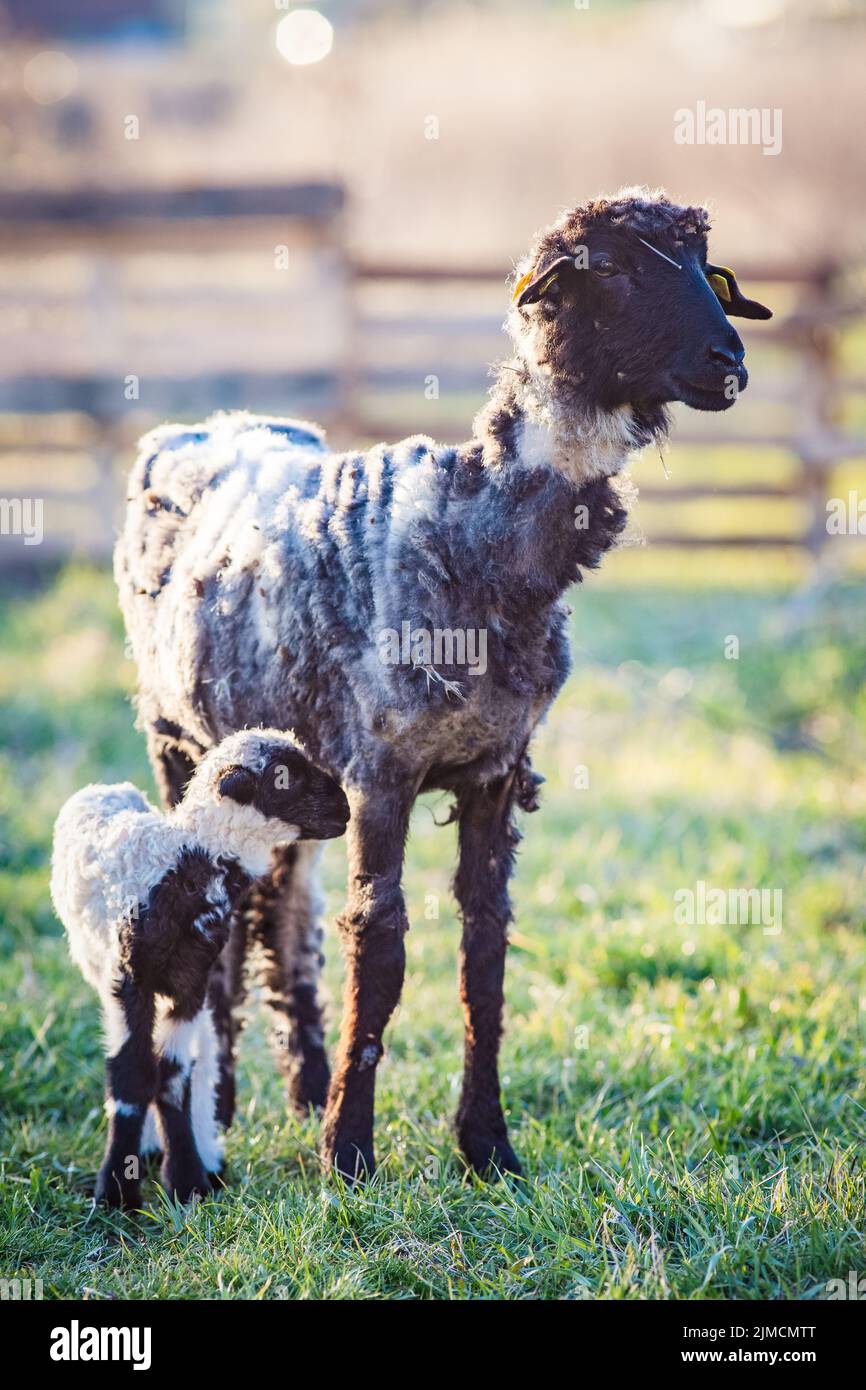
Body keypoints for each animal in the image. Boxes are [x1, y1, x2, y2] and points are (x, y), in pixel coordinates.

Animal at [51, 728, 349, 1207]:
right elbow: (132, 1076)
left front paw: (187, 1180)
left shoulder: (191, 981)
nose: (345, 810)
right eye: (284, 777)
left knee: (205, 1052)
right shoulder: (127, 979)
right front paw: (116, 1190)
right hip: (93, 959)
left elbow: (173, 1076)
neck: (184, 861)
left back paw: (206, 1153)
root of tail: (105, 787)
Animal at [114, 187, 771, 1180]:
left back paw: (301, 1088)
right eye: (612, 267)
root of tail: (208, 421)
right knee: (227, 923)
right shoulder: (381, 771)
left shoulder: (498, 769)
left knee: (286, 916)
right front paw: (348, 1155)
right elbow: (379, 949)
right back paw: (222, 1108)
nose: (727, 363)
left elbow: (483, 952)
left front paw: (487, 1147)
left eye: (708, 267)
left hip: (290, 775)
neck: (475, 536)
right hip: (175, 738)